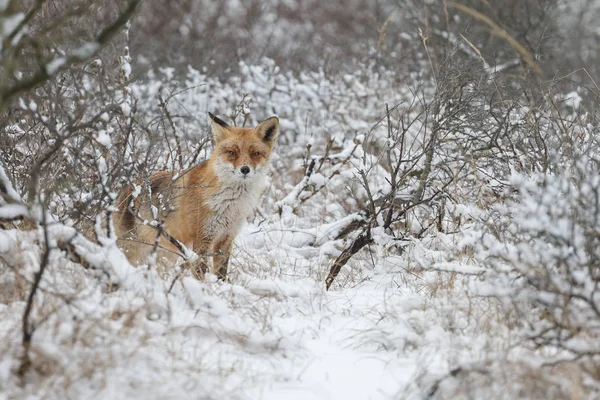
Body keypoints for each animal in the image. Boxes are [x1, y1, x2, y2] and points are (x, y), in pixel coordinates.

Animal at [115, 112, 278, 280]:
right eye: (232, 152)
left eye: (255, 153)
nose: (245, 169)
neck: (231, 204)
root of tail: (124, 190)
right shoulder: (202, 237)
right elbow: (200, 271)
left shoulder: (227, 237)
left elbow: (221, 273)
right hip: (134, 252)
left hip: (165, 255)